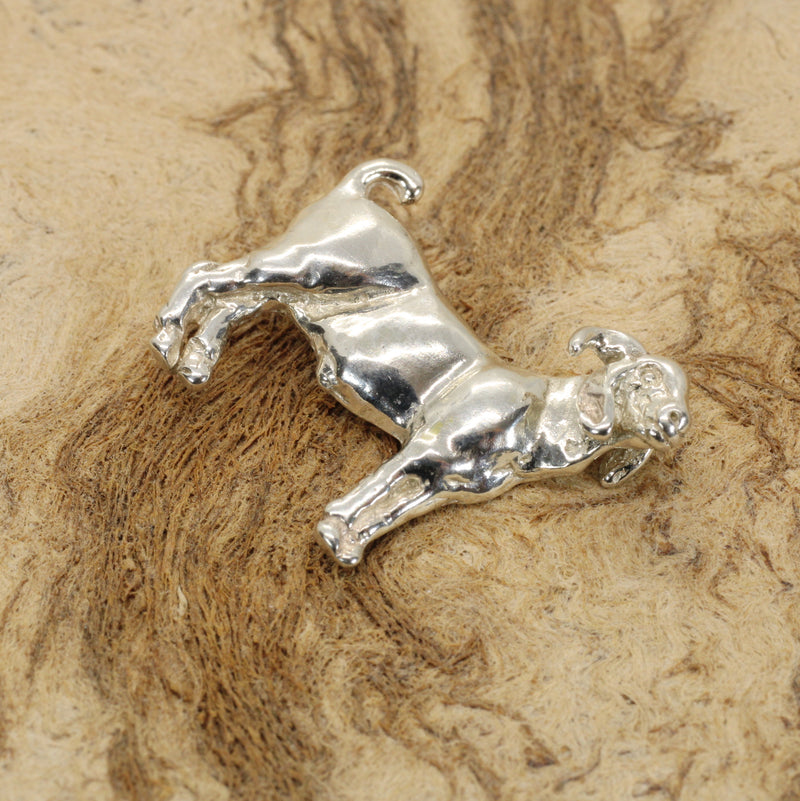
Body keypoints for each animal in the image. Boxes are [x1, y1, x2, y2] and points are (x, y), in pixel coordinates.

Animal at [152, 159, 690, 565]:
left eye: (679, 392)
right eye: (641, 383)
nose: (675, 421)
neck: (541, 414)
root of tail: (357, 193)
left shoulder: (440, 481)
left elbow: (389, 510)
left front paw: (346, 545)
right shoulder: (424, 450)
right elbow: (373, 492)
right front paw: (332, 532)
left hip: (301, 293)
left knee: (234, 302)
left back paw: (197, 362)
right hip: (308, 269)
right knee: (208, 274)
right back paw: (168, 339)